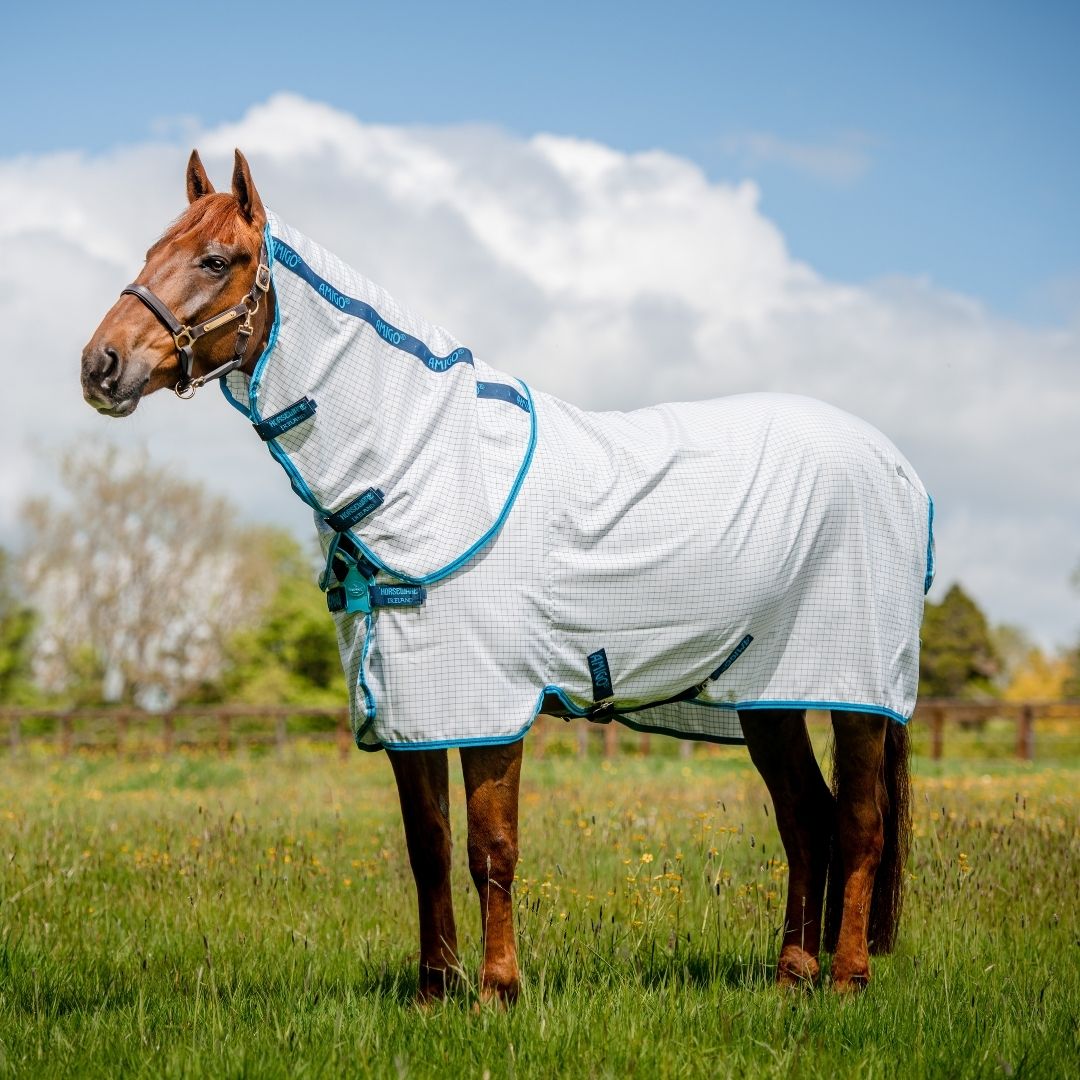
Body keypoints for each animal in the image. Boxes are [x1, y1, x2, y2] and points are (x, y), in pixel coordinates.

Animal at [82, 147, 911, 997]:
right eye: (151, 251)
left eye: (216, 259)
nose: (100, 364)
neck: (431, 464)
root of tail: (894, 466)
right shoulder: (413, 699)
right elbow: (428, 848)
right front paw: (433, 990)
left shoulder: (488, 700)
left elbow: (491, 848)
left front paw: (498, 989)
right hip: (769, 695)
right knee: (806, 818)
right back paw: (790, 975)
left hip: (857, 690)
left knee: (860, 824)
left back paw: (846, 977)